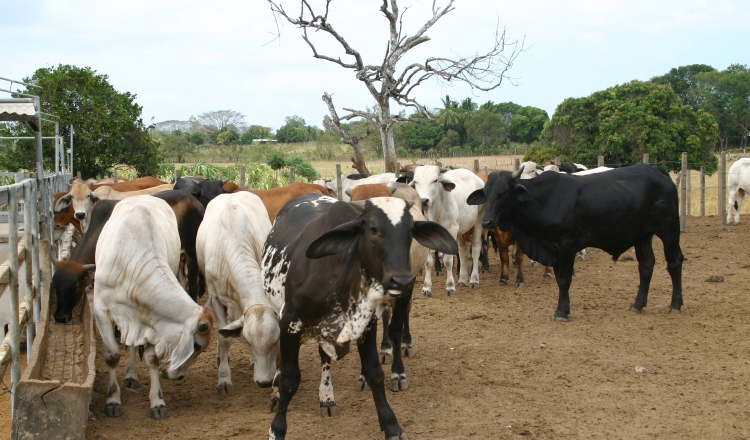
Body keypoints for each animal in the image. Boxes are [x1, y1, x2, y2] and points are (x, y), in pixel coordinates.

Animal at [258, 194, 458, 438]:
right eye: (373, 229)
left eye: (410, 231)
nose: (402, 280)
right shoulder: (290, 324)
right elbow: (289, 380)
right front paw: (276, 429)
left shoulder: (366, 326)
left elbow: (375, 372)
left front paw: (390, 424)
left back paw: (327, 398)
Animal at [470, 163, 688, 322]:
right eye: (486, 192)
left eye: (504, 192)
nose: (487, 221)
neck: (543, 200)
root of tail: (658, 170)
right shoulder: (553, 249)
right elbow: (559, 278)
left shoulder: (567, 246)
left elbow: (564, 279)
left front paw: (561, 312)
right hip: (643, 235)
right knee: (646, 265)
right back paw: (638, 304)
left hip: (669, 230)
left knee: (675, 262)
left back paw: (675, 305)